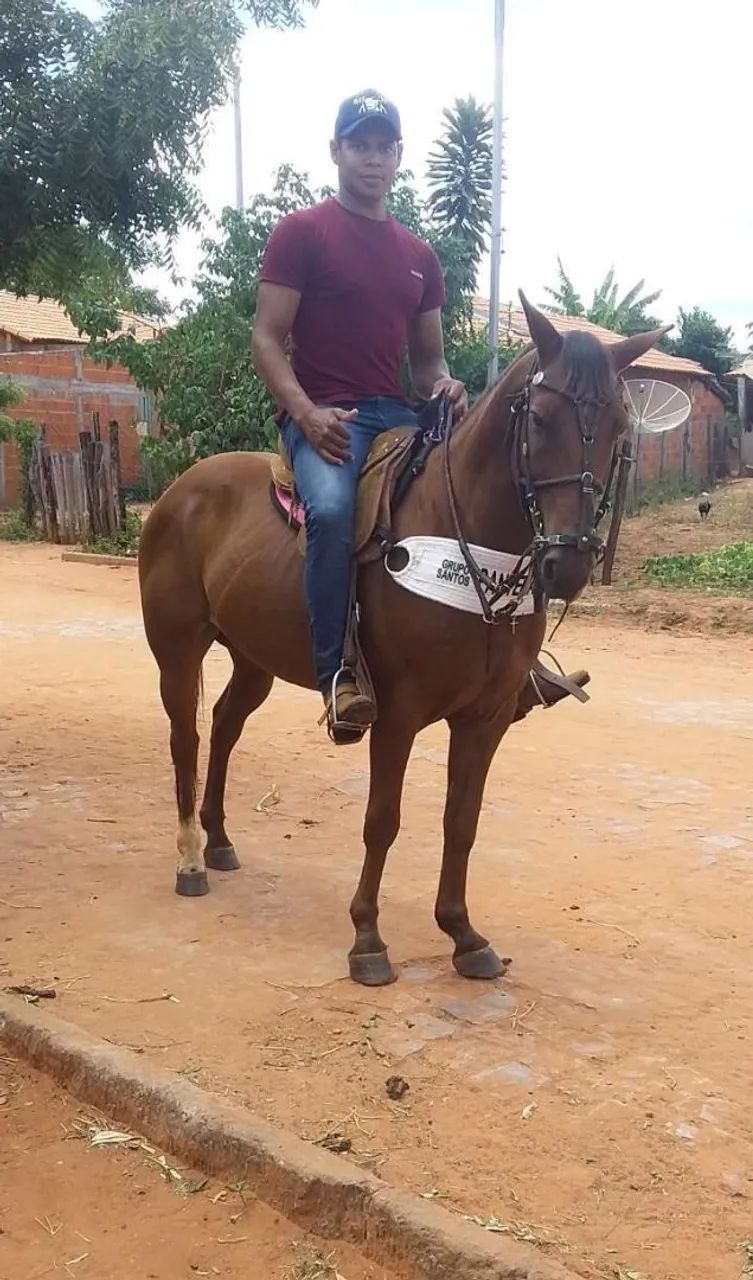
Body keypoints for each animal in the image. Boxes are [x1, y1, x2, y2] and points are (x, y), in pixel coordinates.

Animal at [138, 295, 664, 987]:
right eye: (540, 418)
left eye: (618, 428)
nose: (568, 564)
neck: (471, 550)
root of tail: (180, 489)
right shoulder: (398, 714)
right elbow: (381, 822)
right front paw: (367, 938)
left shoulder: (485, 717)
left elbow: (461, 823)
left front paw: (464, 935)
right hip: (176, 650)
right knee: (187, 739)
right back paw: (190, 860)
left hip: (254, 658)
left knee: (225, 725)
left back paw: (220, 840)